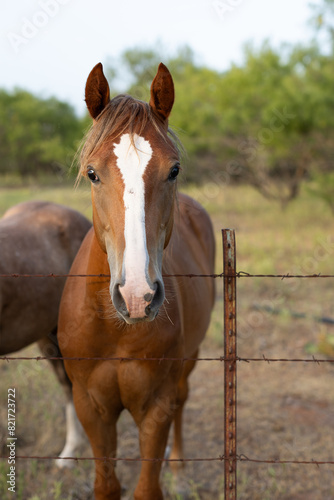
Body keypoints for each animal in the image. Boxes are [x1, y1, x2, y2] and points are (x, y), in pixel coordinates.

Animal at [58, 63, 215, 500]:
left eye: (174, 170)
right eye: (92, 173)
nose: (137, 296)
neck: (116, 330)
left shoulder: (155, 407)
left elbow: (147, 487)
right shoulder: (91, 407)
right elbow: (107, 485)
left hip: (188, 364)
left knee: (184, 400)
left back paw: (179, 469)